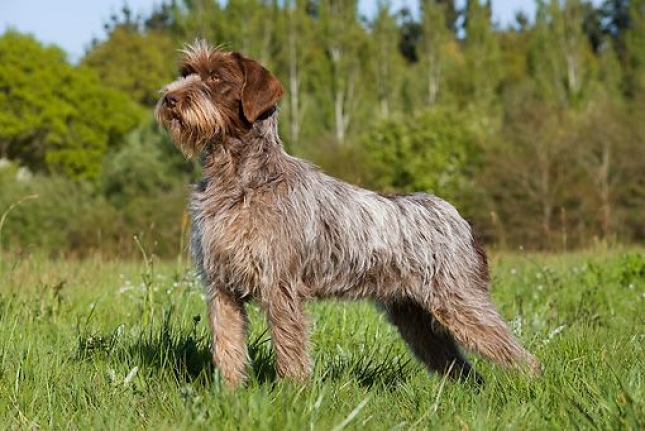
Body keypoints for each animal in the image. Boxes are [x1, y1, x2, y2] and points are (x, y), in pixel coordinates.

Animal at [155, 41, 540, 388]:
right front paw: (232, 396)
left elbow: (289, 353)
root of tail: (455, 215)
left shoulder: (280, 288)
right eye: (186, 73)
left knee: (521, 357)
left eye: (216, 77)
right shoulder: (221, 287)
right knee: (460, 367)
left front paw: (292, 398)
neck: (236, 177)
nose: (169, 98)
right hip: (414, 317)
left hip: (460, 304)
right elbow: (228, 349)